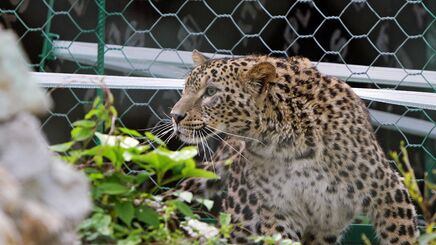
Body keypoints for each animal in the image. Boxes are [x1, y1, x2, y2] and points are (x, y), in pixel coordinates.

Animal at [168, 50, 418, 245]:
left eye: (210, 92)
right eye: (185, 89)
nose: (174, 116)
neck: (283, 143)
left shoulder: (388, 191)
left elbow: (402, 237)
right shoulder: (280, 211)